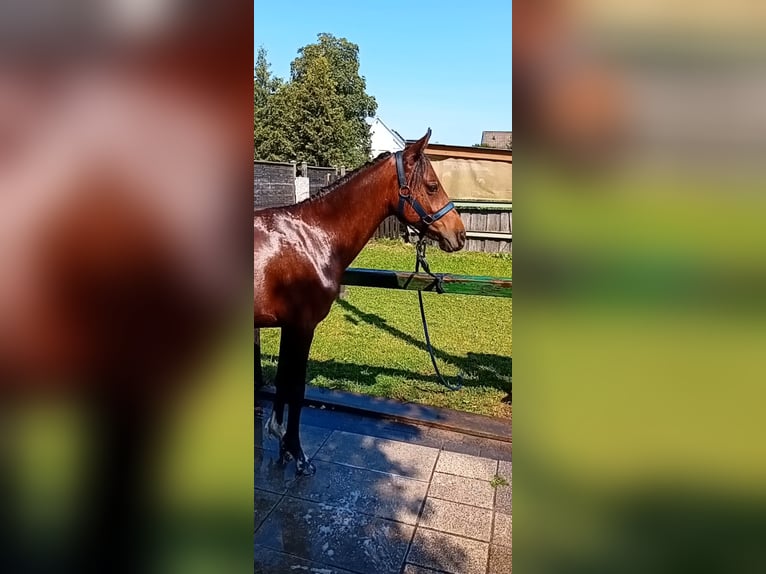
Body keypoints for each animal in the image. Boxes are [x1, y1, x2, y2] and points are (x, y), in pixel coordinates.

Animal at [255, 130, 464, 476]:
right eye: (432, 186)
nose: (459, 235)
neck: (311, 238)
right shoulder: (302, 327)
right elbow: (296, 389)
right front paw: (299, 455)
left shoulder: (289, 327)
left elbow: (284, 382)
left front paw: (282, 446)